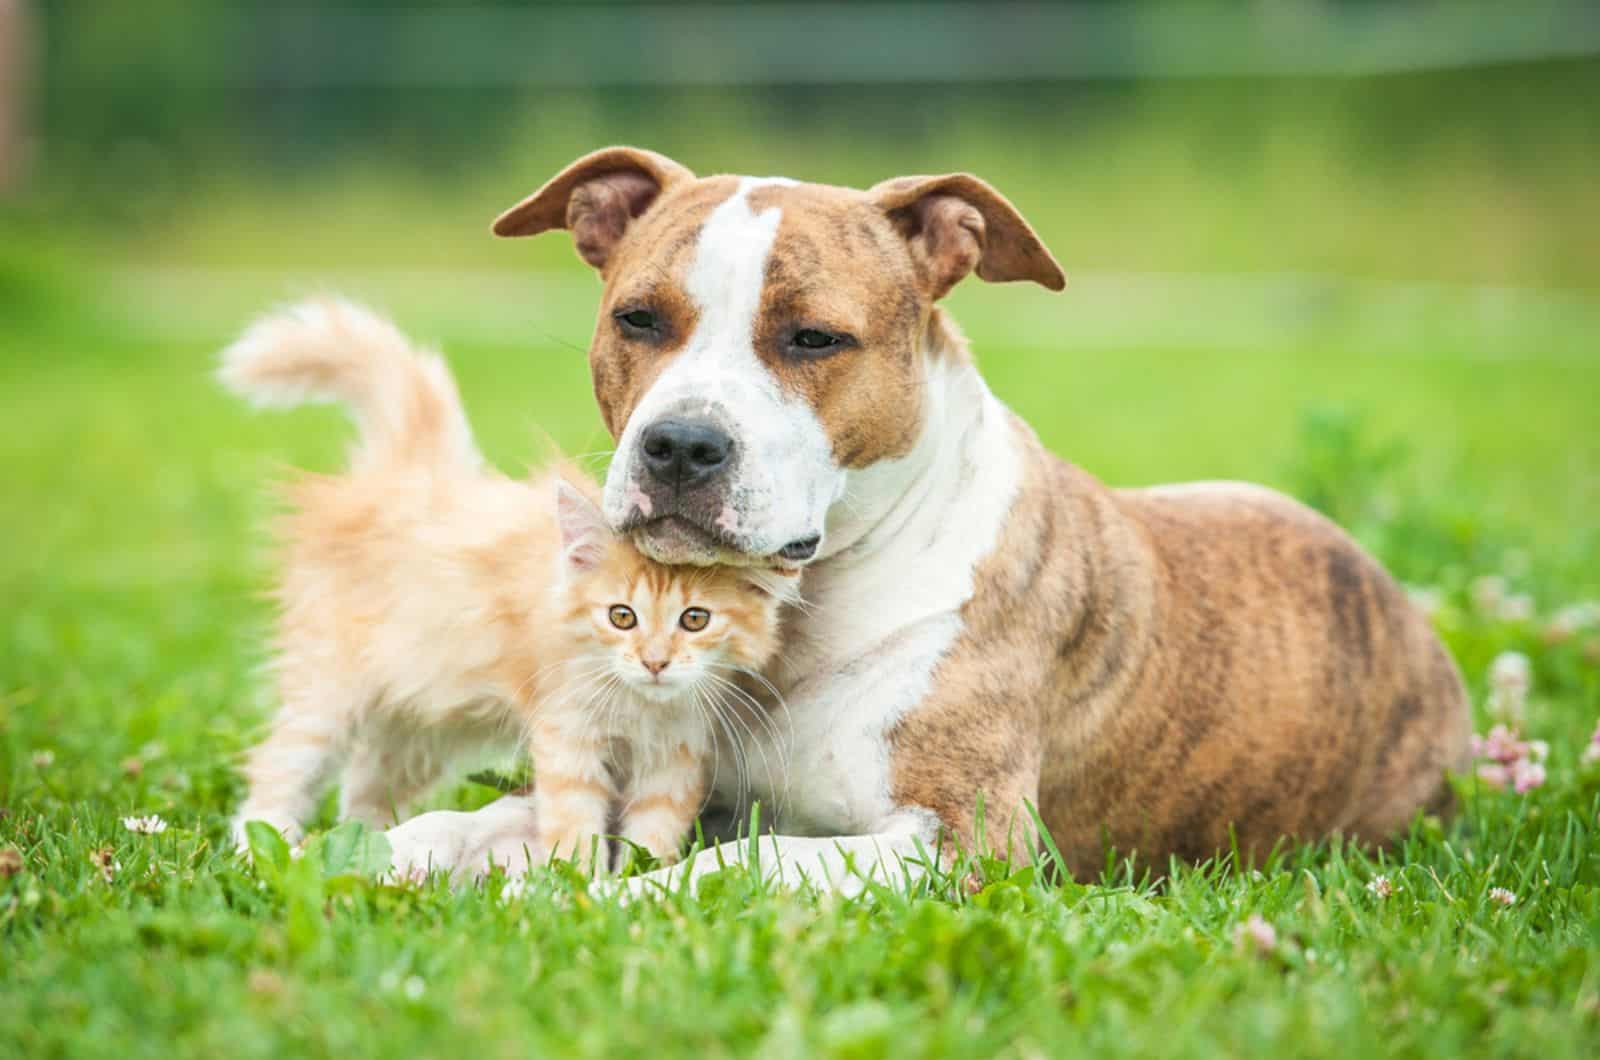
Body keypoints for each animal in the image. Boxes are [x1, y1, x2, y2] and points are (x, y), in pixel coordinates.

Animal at [219, 299, 793, 871]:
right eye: (621, 616)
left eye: (695, 620)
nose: (655, 662)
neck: (639, 704)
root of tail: (409, 472)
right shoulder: (566, 734)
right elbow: (575, 824)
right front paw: (580, 881)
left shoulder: (675, 756)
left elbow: (651, 836)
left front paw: (639, 878)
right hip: (329, 688)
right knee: (279, 767)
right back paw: (260, 848)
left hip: (416, 720)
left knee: (365, 788)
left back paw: (370, 845)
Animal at [377, 147, 1472, 890]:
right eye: (637, 319)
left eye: (814, 338)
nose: (681, 446)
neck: (798, 610)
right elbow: (462, 825)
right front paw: (371, 858)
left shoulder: (962, 840)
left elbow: (741, 863)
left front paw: (609, 903)